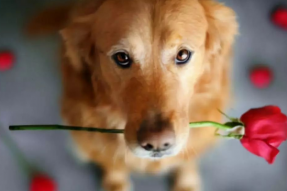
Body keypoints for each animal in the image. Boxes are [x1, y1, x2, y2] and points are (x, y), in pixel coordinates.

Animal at [27, 0, 238, 190]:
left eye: (183, 54)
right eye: (122, 57)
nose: (157, 143)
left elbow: (188, 161)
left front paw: (186, 182)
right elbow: (112, 164)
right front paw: (115, 183)